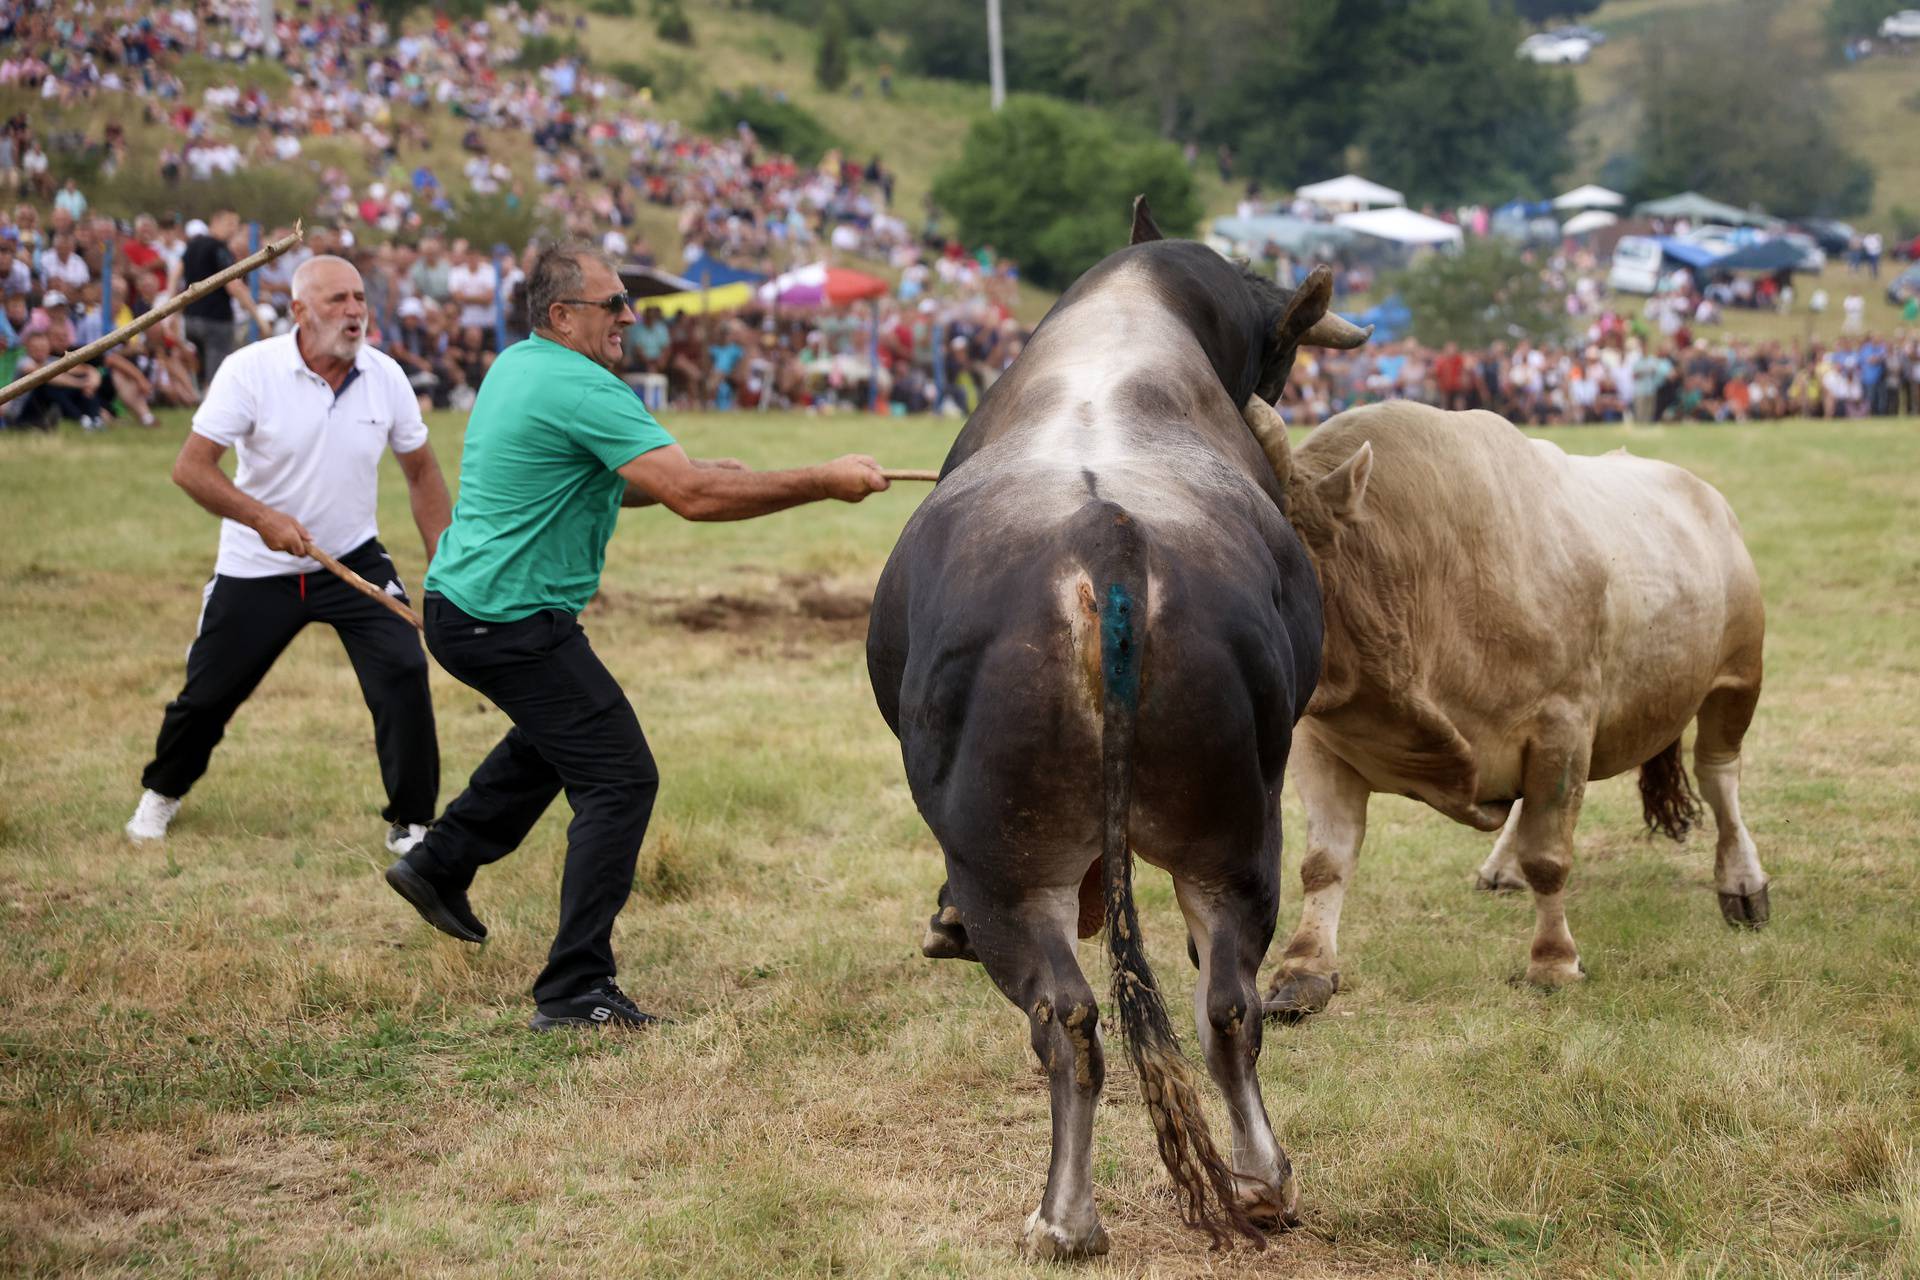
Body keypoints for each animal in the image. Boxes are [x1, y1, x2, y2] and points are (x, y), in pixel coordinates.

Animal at [1244, 401, 1766, 1013]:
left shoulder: (1563, 722)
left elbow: (1549, 854)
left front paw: (1554, 961)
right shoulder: (1321, 741)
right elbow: (1326, 859)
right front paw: (1304, 969)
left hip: (1737, 677)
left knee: (1719, 775)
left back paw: (1742, 881)